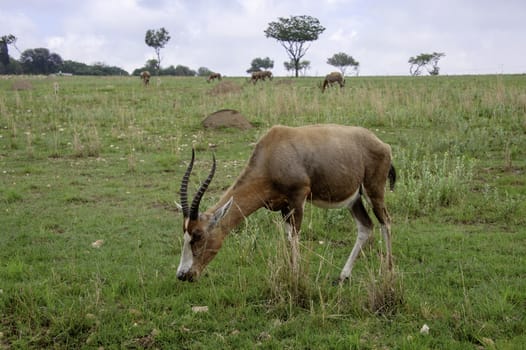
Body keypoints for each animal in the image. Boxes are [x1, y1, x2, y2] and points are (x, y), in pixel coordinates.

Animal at [177, 124, 396, 284]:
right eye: (185, 234)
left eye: (198, 235)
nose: (183, 275)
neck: (272, 151)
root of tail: (383, 145)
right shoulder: (283, 207)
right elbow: (288, 236)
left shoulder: (297, 199)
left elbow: (294, 236)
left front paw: (296, 277)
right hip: (354, 199)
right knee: (366, 226)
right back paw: (343, 276)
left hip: (374, 192)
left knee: (386, 221)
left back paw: (388, 272)